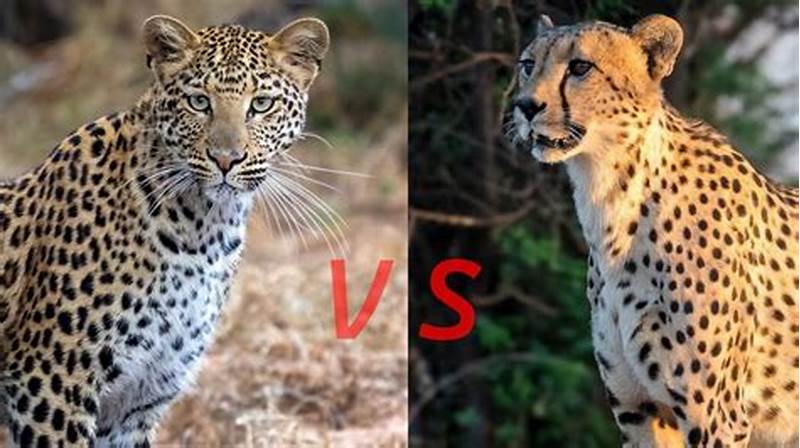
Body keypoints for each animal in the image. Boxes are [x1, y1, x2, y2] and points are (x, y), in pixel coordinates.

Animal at [0, 14, 329, 447]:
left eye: (261, 105)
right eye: (198, 102)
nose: (226, 159)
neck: (204, 232)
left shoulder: (138, 400)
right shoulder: (49, 381)